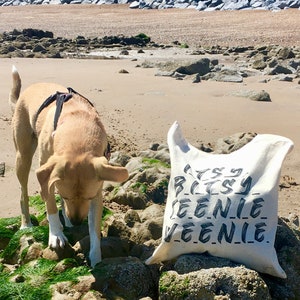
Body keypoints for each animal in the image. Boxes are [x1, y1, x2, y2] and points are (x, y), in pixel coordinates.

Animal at [9, 66, 129, 268]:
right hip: (22, 157)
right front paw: (56, 235)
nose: (77, 221)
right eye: (66, 196)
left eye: (89, 197)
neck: (78, 127)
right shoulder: (45, 173)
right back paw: (26, 224)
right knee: (23, 193)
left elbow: (94, 228)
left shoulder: (97, 189)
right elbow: (50, 204)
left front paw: (96, 258)